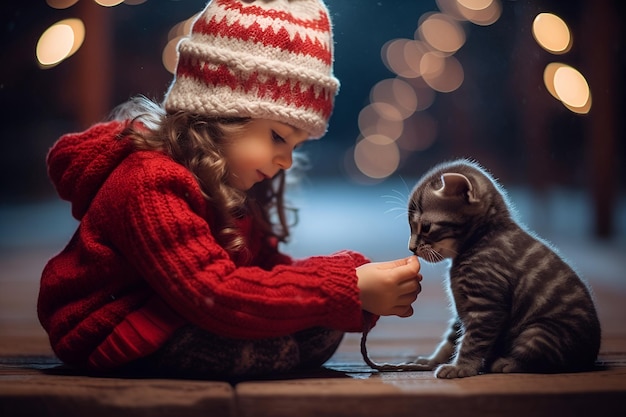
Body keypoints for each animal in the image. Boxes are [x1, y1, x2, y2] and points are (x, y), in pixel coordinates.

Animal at [404, 158, 600, 376]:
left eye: (426, 227)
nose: (411, 248)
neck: (482, 238)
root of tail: (590, 358)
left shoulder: (486, 307)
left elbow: (471, 342)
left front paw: (461, 367)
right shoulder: (462, 310)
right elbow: (453, 338)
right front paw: (432, 360)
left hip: (539, 331)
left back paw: (506, 363)